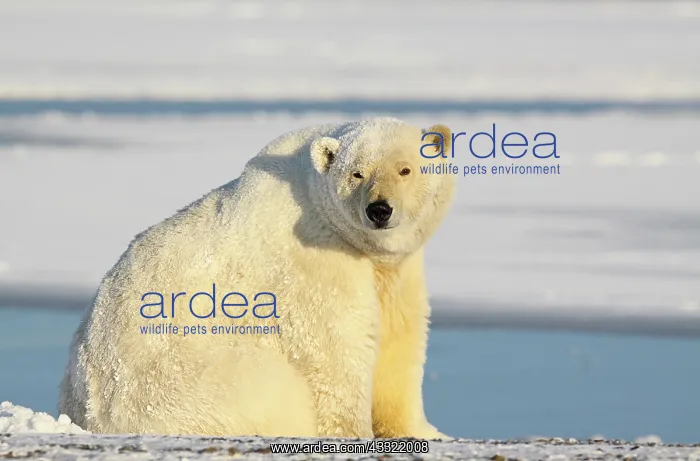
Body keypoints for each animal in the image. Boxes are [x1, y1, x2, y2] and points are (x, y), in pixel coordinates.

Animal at [59, 117, 456, 439]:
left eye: (405, 170)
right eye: (356, 173)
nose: (379, 209)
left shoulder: (395, 271)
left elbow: (398, 340)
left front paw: (428, 432)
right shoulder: (314, 265)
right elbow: (337, 352)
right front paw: (354, 433)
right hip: (184, 383)